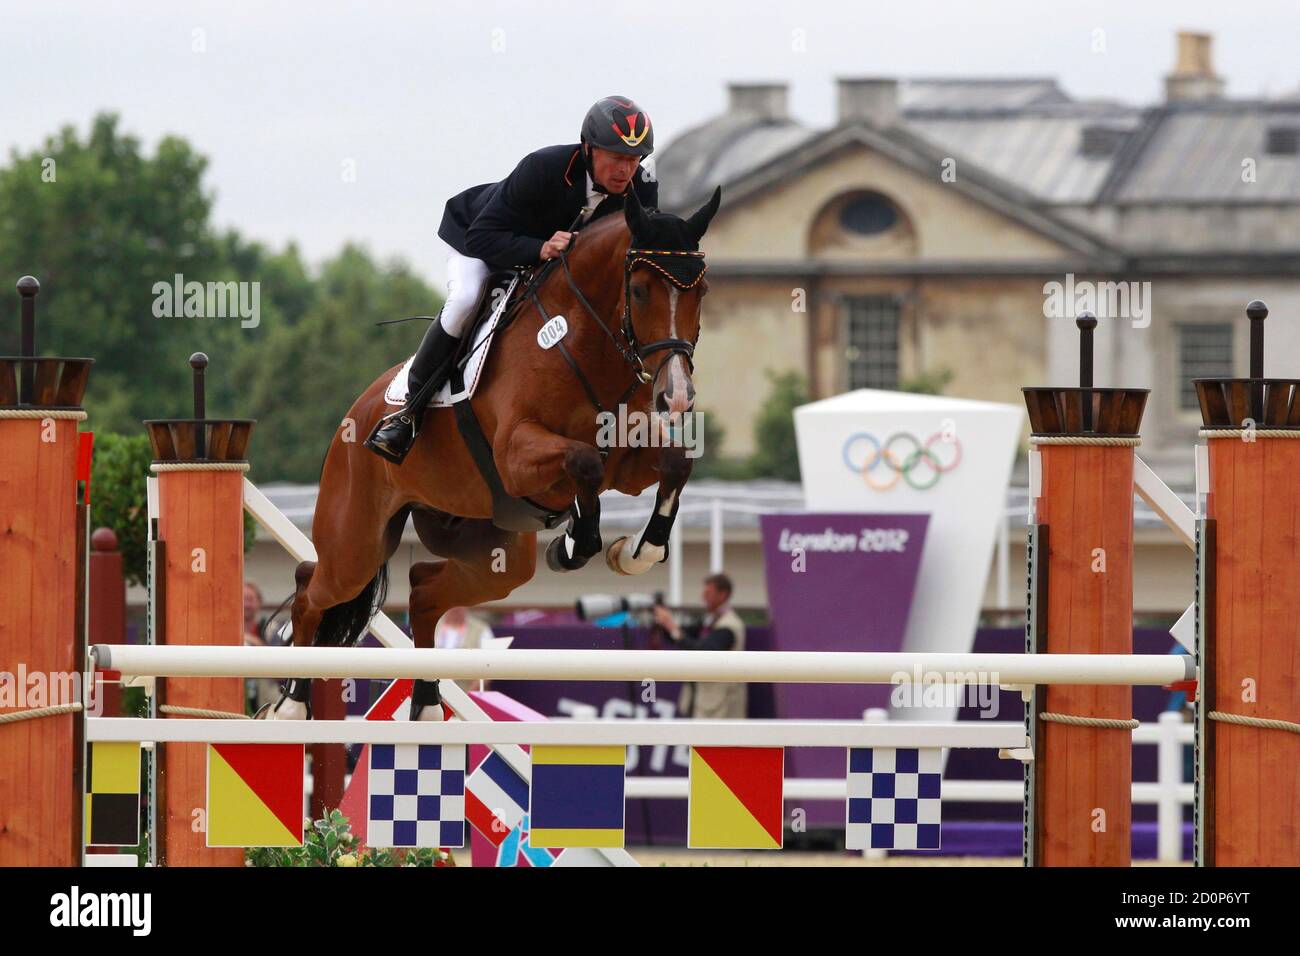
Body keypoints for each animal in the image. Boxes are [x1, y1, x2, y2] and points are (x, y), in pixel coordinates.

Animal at [271, 187, 722, 717]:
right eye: (639, 291)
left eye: (701, 292)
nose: (676, 396)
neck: (587, 344)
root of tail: (356, 410)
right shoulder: (516, 455)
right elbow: (584, 462)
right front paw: (575, 543)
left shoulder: (628, 461)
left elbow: (674, 463)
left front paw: (634, 551)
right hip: (356, 544)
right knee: (312, 588)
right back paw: (292, 703)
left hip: (493, 556)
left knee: (423, 588)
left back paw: (426, 703)